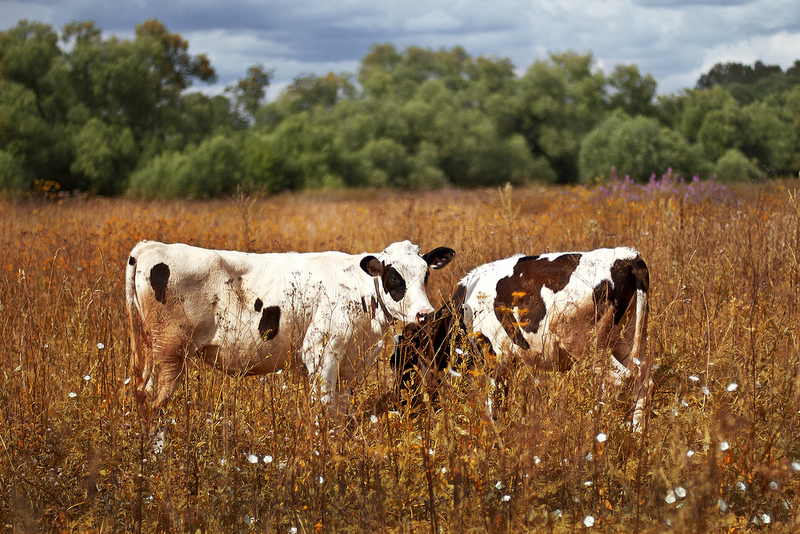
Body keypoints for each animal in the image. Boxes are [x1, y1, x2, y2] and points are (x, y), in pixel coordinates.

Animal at [123, 241, 450, 426]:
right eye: (394, 277)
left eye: (426, 274)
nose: (425, 313)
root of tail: (152, 247)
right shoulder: (321, 352)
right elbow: (324, 406)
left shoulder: (351, 362)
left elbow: (341, 410)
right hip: (171, 354)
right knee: (156, 407)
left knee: (145, 396)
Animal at [392, 249, 648, 434]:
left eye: (400, 361)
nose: (398, 407)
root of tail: (627, 256)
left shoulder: (493, 357)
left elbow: (493, 401)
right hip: (627, 339)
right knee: (643, 377)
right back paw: (636, 433)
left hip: (587, 344)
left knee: (618, 377)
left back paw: (595, 428)